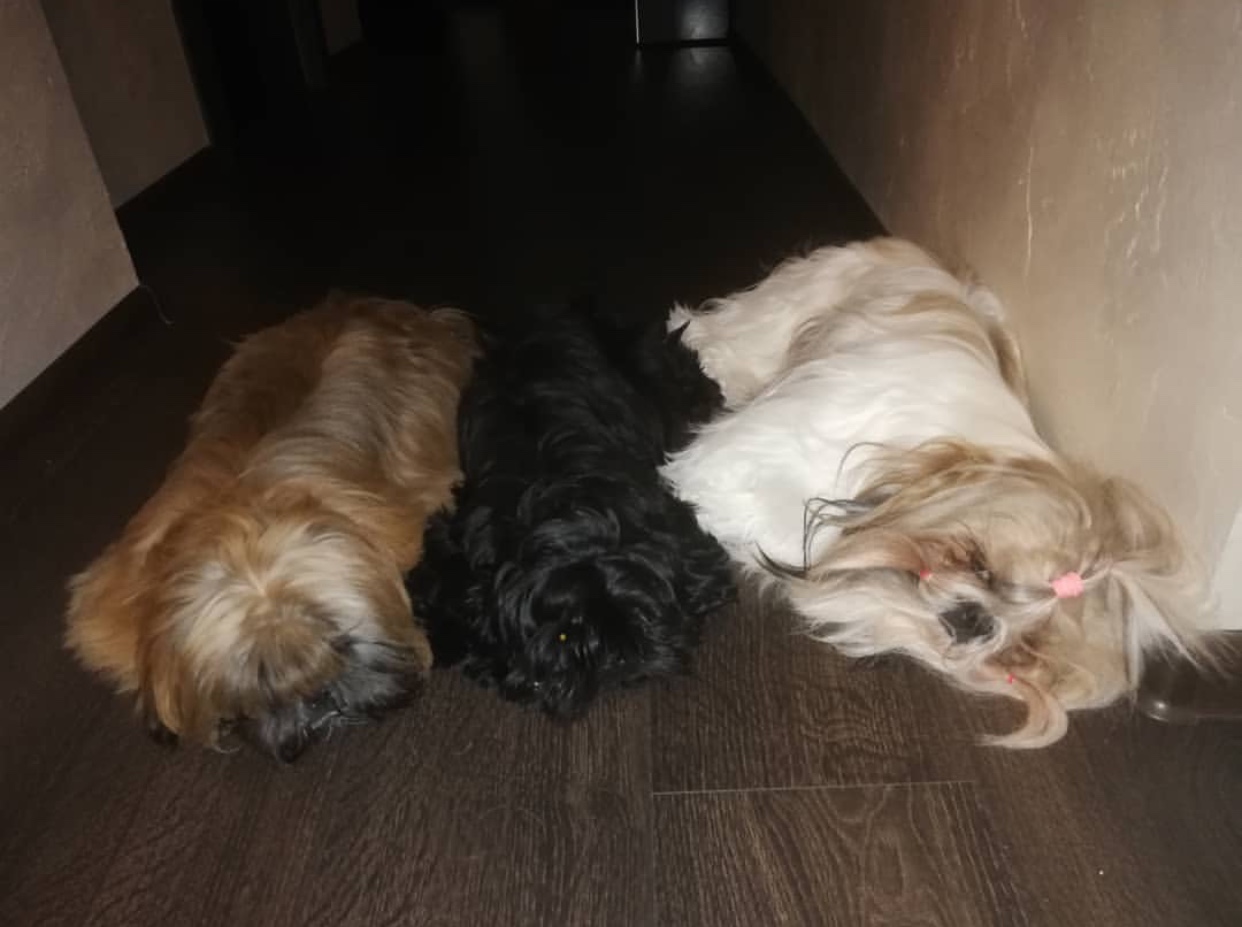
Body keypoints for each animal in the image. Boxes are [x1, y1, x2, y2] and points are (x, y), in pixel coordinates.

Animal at [665, 236, 1207, 745]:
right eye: (979, 565)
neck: (913, 465)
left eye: (1025, 650)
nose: (979, 620)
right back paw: (704, 347)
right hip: (795, 301)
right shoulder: (756, 448)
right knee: (735, 330)